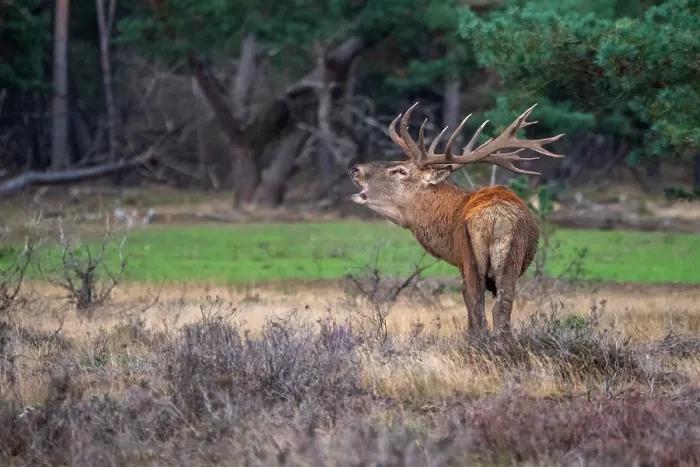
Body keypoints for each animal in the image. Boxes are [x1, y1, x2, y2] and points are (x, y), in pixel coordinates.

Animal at [348, 102, 565, 334]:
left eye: (400, 170)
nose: (355, 168)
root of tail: (494, 217)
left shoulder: (461, 260)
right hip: (510, 258)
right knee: (502, 306)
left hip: (471, 258)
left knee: (476, 304)